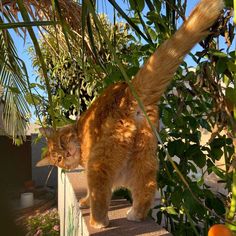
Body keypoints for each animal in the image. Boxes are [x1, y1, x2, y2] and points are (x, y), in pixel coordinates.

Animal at [36, 0, 223, 229]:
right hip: (144, 158)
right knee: (147, 187)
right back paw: (136, 214)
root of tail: (127, 91)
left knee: (101, 191)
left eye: (62, 145)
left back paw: (99, 221)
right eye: (59, 158)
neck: (79, 131)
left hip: (101, 161)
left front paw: (85, 202)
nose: (67, 155)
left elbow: (91, 191)